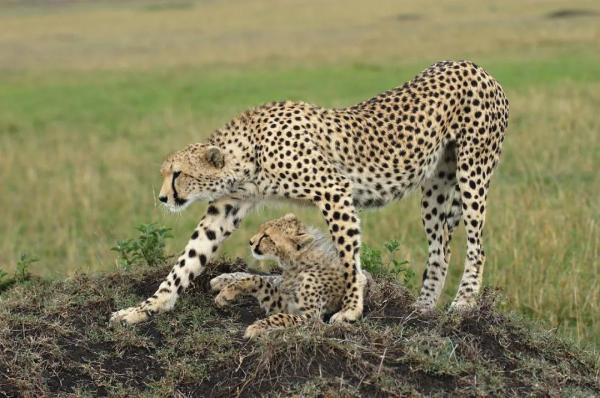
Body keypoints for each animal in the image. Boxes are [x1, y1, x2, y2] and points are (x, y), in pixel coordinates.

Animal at [110, 60, 508, 324]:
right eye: (166, 174)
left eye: (178, 175)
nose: (163, 198)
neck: (248, 153)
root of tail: (474, 66)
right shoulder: (227, 206)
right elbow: (187, 260)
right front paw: (143, 310)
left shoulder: (334, 191)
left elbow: (348, 256)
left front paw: (351, 308)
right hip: (436, 187)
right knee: (441, 245)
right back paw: (423, 307)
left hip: (473, 173)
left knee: (477, 244)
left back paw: (465, 302)